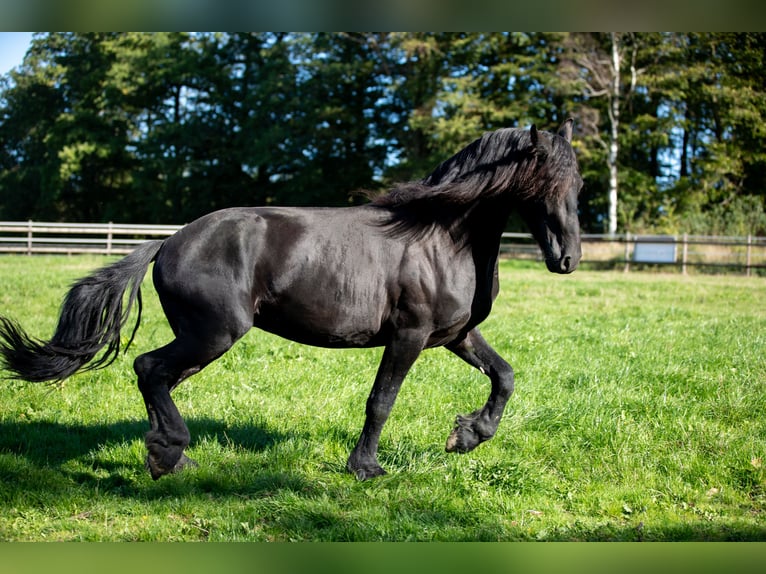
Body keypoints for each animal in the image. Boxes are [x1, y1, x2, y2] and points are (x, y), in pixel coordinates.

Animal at [0, 120, 582, 480]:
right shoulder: (409, 336)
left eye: (576, 184)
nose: (567, 258)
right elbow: (381, 400)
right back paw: (169, 455)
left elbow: (504, 376)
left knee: (157, 376)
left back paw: (171, 456)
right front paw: (366, 468)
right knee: (149, 368)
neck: (440, 236)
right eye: (543, 184)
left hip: (202, 340)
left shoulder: (455, 335)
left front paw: (467, 436)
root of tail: (167, 242)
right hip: (213, 334)